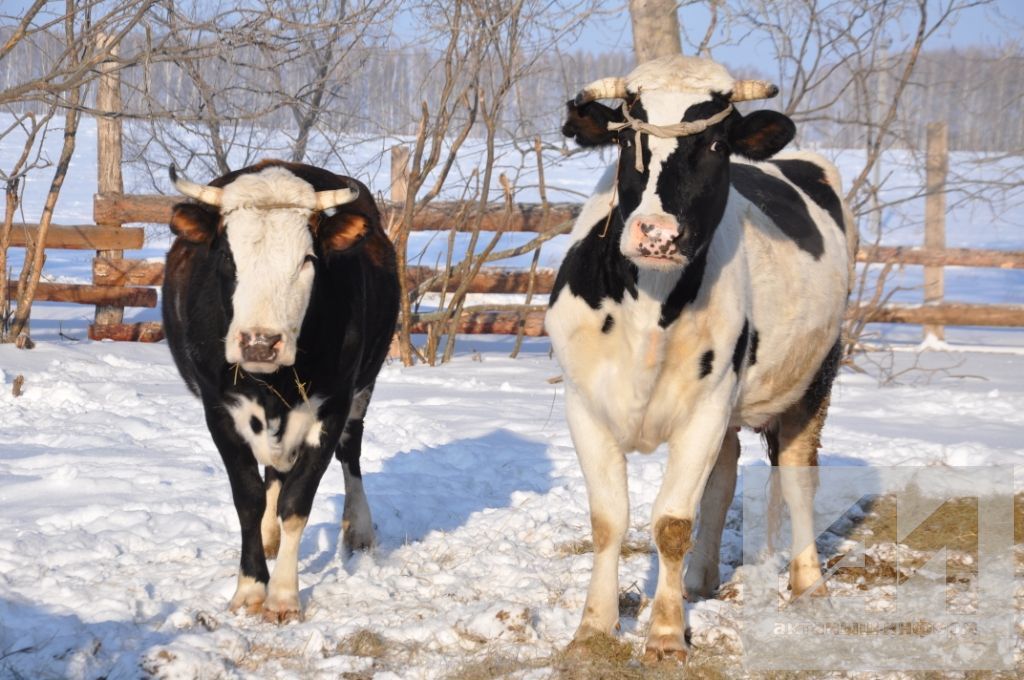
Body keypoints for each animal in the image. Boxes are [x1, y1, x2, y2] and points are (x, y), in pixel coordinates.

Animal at [161, 159, 397, 622]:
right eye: (227, 256)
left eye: (307, 259)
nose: (259, 342)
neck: (273, 383)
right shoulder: (219, 411)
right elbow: (249, 500)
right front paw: (251, 587)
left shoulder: (331, 408)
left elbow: (297, 502)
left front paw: (284, 596)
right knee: (273, 472)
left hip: (363, 388)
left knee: (351, 453)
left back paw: (358, 528)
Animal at [544, 55, 856, 659]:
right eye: (628, 140)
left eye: (714, 144)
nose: (657, 234)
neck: (649, 305)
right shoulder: (583, 404)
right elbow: (609, 520)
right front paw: (593, 627)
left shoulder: (706, 409)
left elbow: (670, 523)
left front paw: (666, 635)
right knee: (724, 478)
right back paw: (699, 580)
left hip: (815, 377)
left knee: (797, 477)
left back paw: (808, 582)